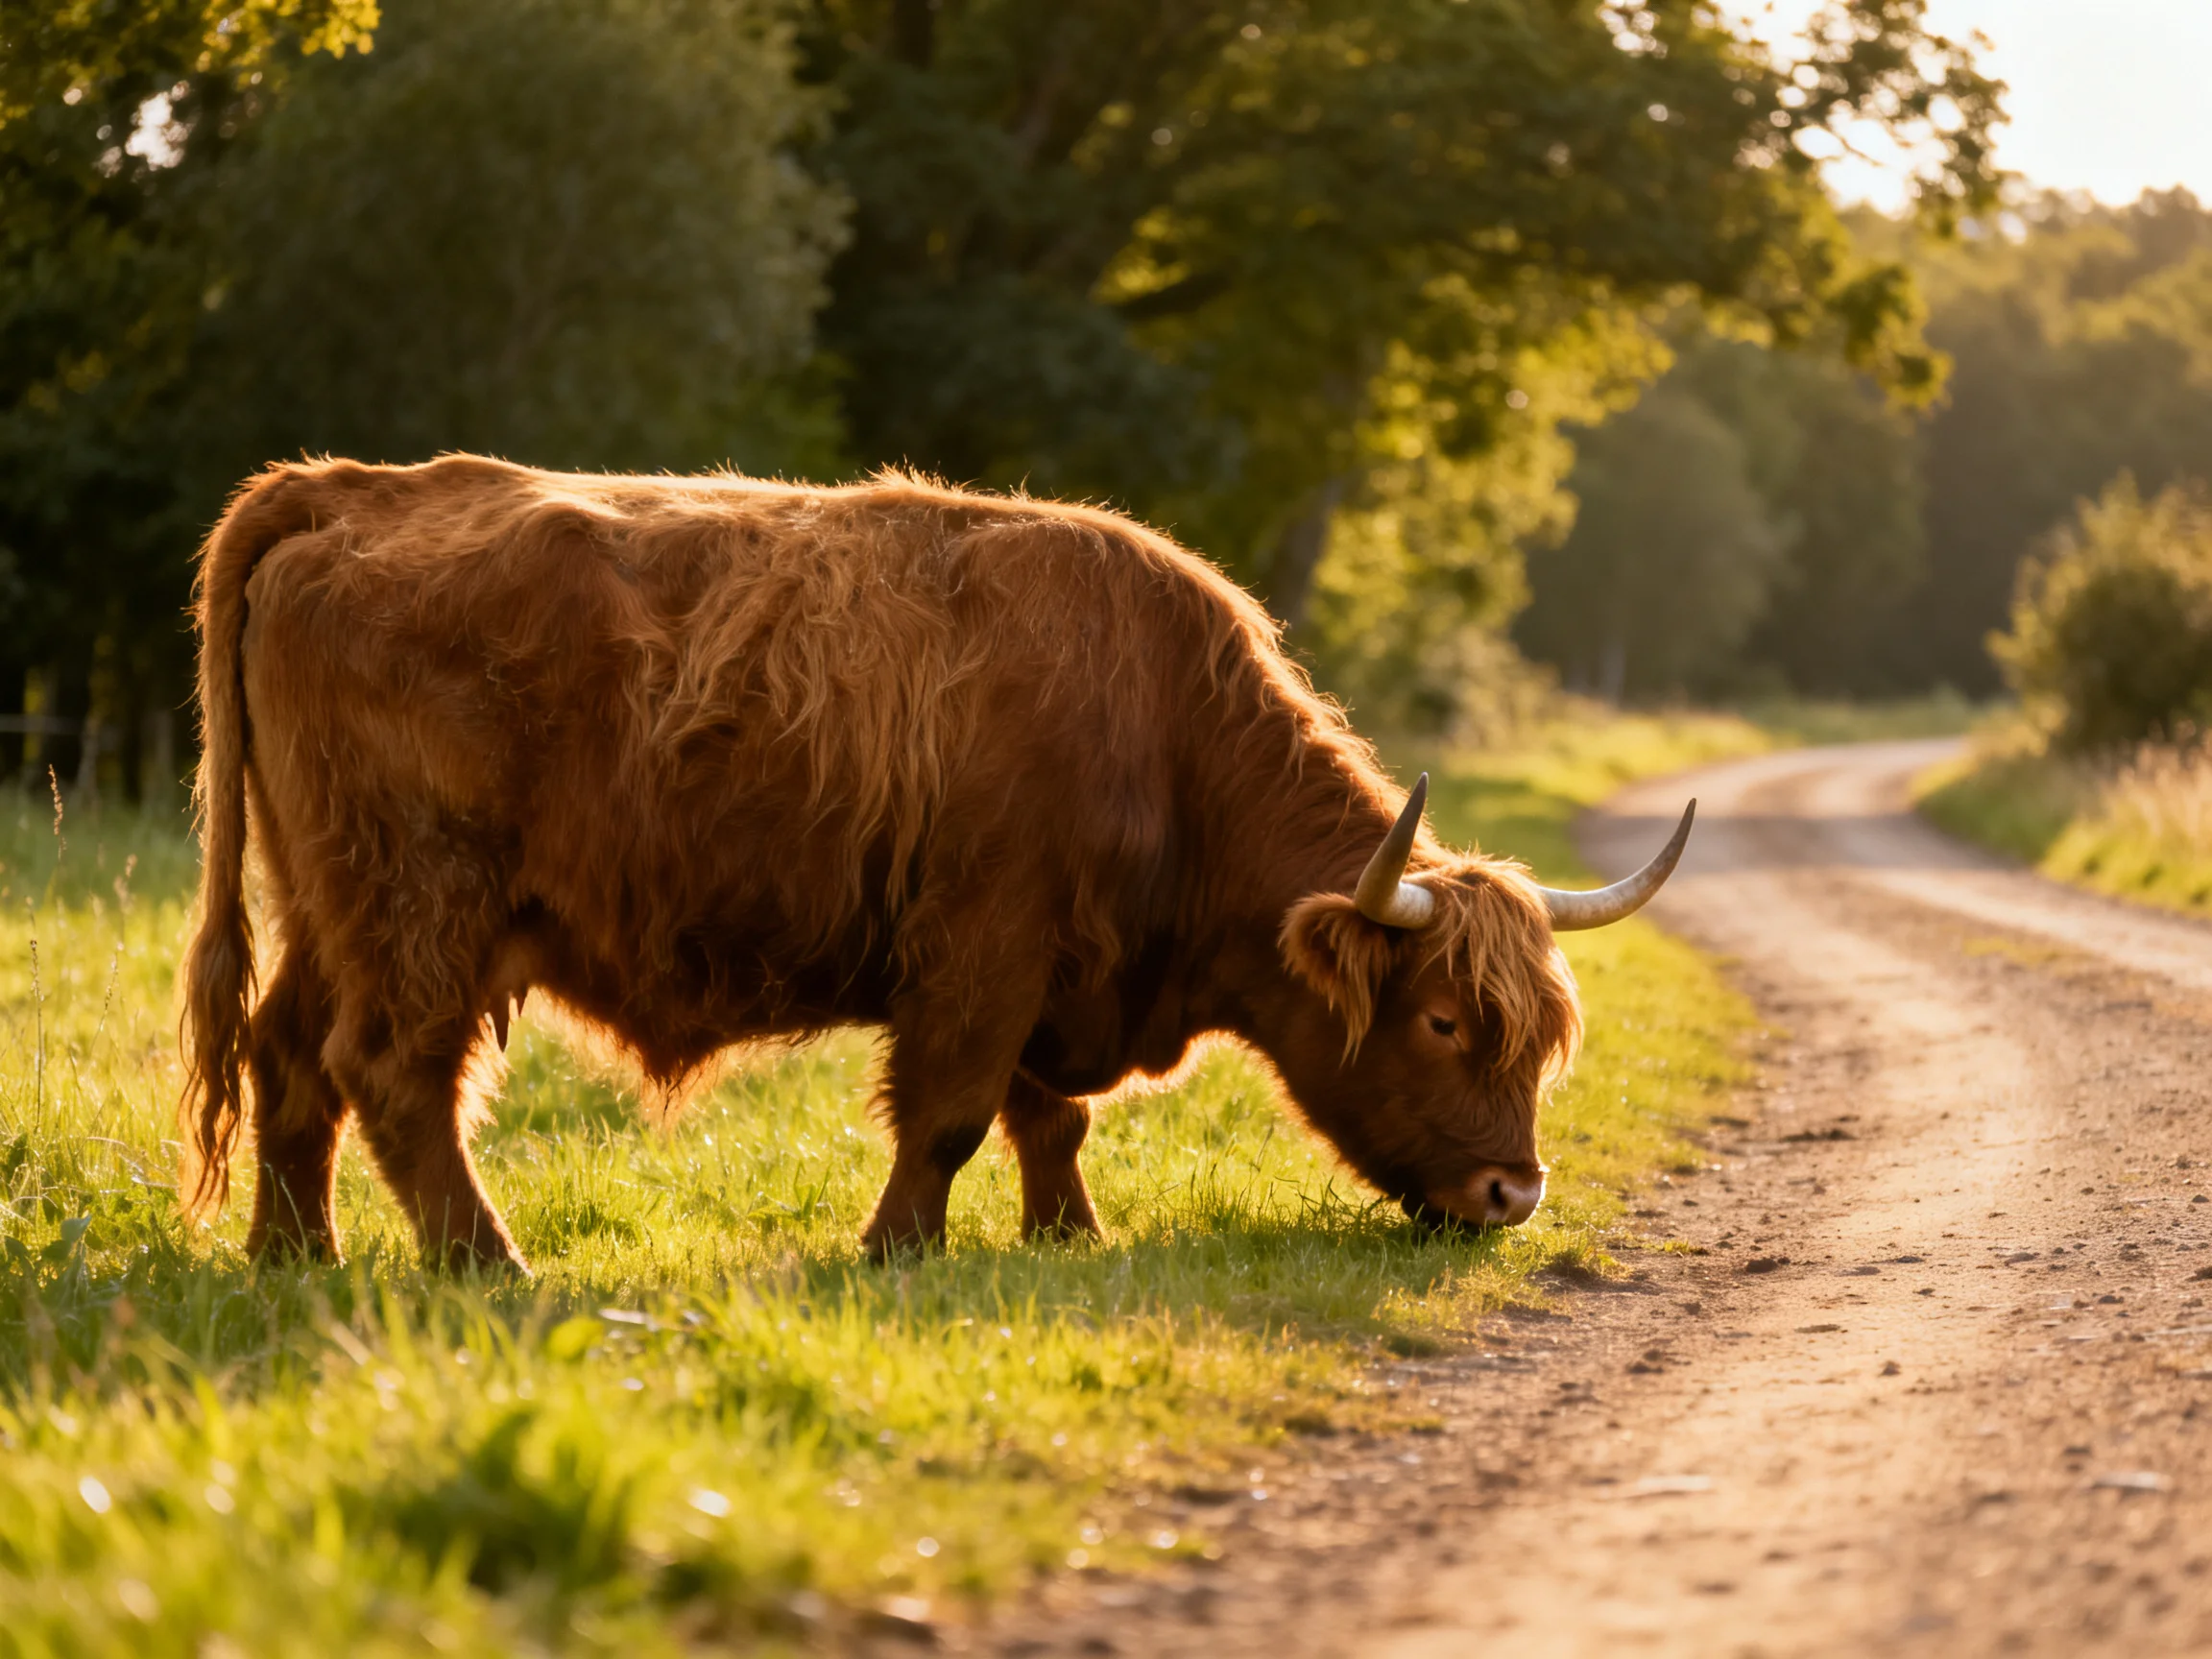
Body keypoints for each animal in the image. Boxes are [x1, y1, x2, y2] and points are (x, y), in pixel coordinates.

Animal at [178, 455, 1692, 1270]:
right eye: (1441, 1022)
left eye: (1540, 1039)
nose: (1512, 1193)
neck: (1164, 739)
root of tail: (345, 491)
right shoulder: (982, 948)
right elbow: (954, 1111)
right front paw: (899, 1248)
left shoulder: (1057, 968)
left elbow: (1048, 1118)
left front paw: (1069, 1235)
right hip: (419, 905)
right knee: (395, 1074)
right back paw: (486, 1260)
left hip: (325, 904)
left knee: (289, 1057)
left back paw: (293, 1254)